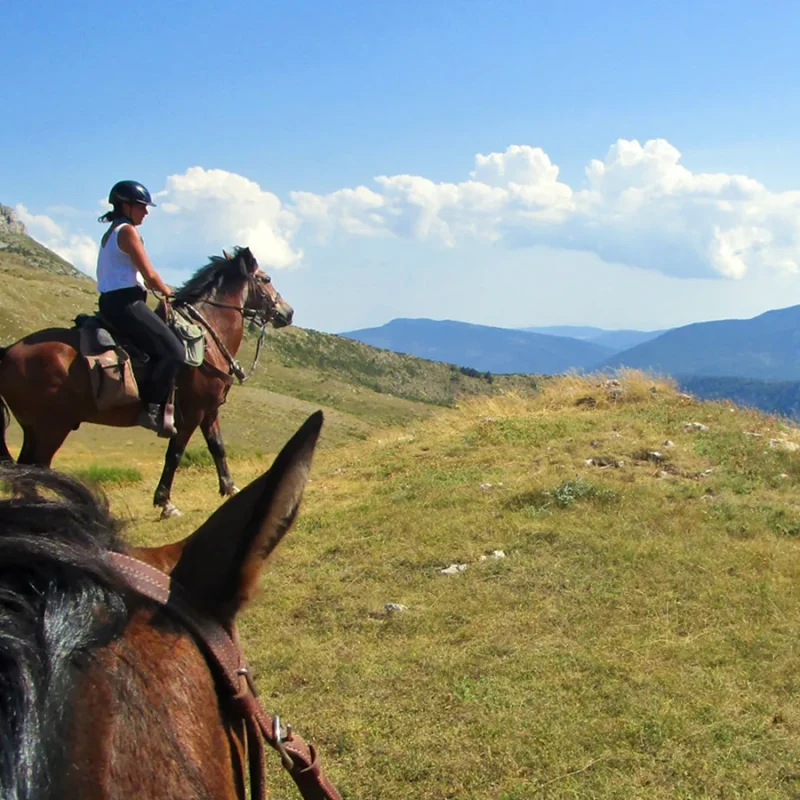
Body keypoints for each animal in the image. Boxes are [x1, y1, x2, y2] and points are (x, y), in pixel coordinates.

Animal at [0, 248, 290, 520]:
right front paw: (165, 503)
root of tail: (9, 350)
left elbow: (217, 447)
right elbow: (175, 454)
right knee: (34, 469)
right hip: (50, 428)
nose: (288, 312)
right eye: (266, 278)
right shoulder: (191, 413)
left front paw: (230, 488)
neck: (206, 338)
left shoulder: (209, 410)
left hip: (36, 429)